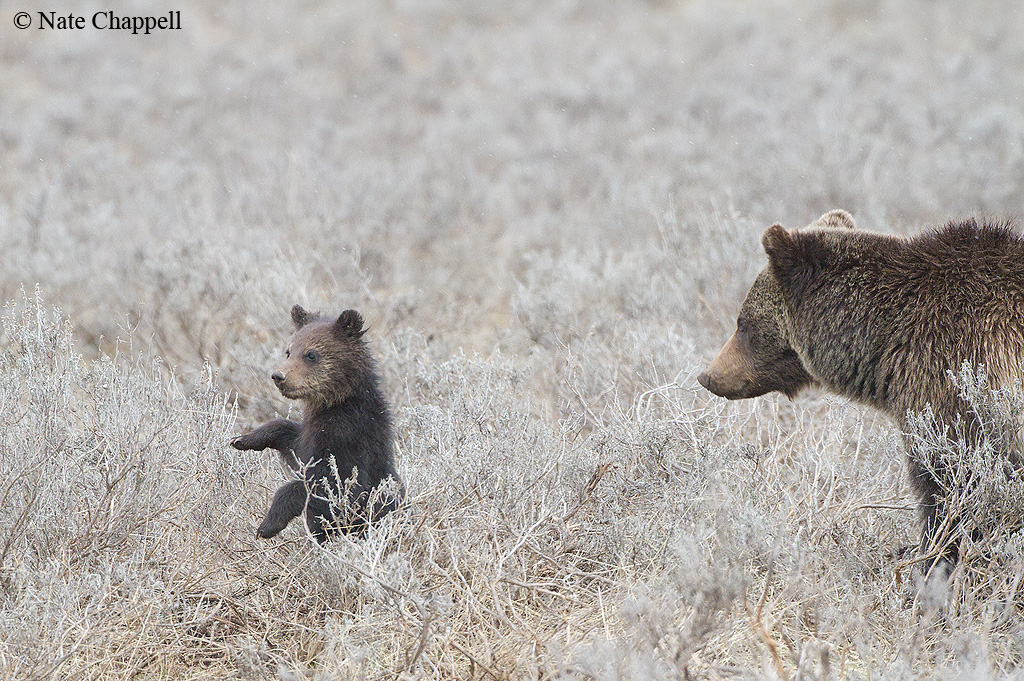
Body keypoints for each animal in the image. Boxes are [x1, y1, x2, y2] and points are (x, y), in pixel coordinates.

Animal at [231, 305, 403, 542]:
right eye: (289, 351)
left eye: (311, 354)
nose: (278, 376)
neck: (336, 403)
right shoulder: (313, 434)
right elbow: (291, 439)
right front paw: (242, 439)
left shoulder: (349, 436)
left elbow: (331, 484)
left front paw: (267, 525)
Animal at [698, 210, 1024, 571]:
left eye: (742, 323)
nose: (708, 375)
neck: (883, 339)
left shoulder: (956, 378)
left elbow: (949, 488)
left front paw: (938, 562)